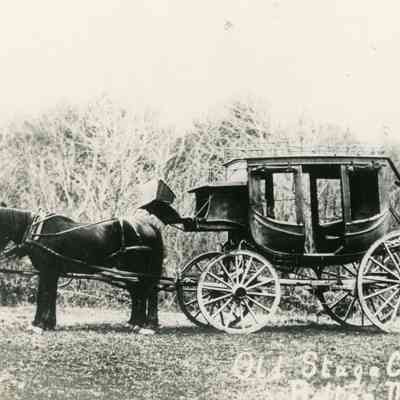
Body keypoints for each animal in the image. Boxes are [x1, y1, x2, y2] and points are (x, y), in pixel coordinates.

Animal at [0, 207, 164, 334]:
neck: (36, 231)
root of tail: (151, 226)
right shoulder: (52, 273)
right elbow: (51, 295)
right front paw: (49, 324)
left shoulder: (48, 271)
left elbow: (43, 295)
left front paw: (38, 325)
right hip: (129, 272)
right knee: (138, 293)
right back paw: (135, 322)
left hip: (142, 271)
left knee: (150, 292)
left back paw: (148, 326)